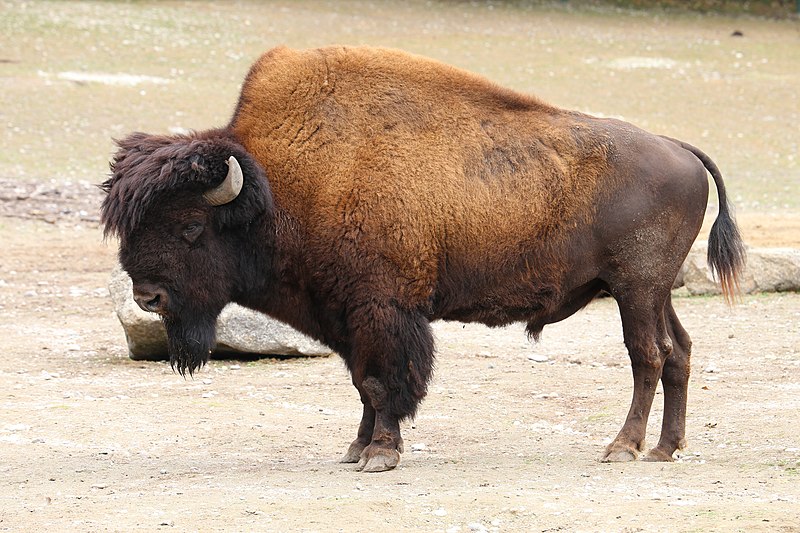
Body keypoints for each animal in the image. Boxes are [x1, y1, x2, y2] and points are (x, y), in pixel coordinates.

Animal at [100, 44, 744, 470]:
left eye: (190, 226)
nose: (147, 296)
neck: (280, 189)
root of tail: (679, 148)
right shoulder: (346, 317)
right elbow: (363, 383)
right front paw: (355, 449)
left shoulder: (383, 311)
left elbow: (386, 382)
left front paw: (380, 455)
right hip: (654, 291)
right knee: (680, 352)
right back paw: (665, 448)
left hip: (635, 288)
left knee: (649, 356)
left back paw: (622, 448)